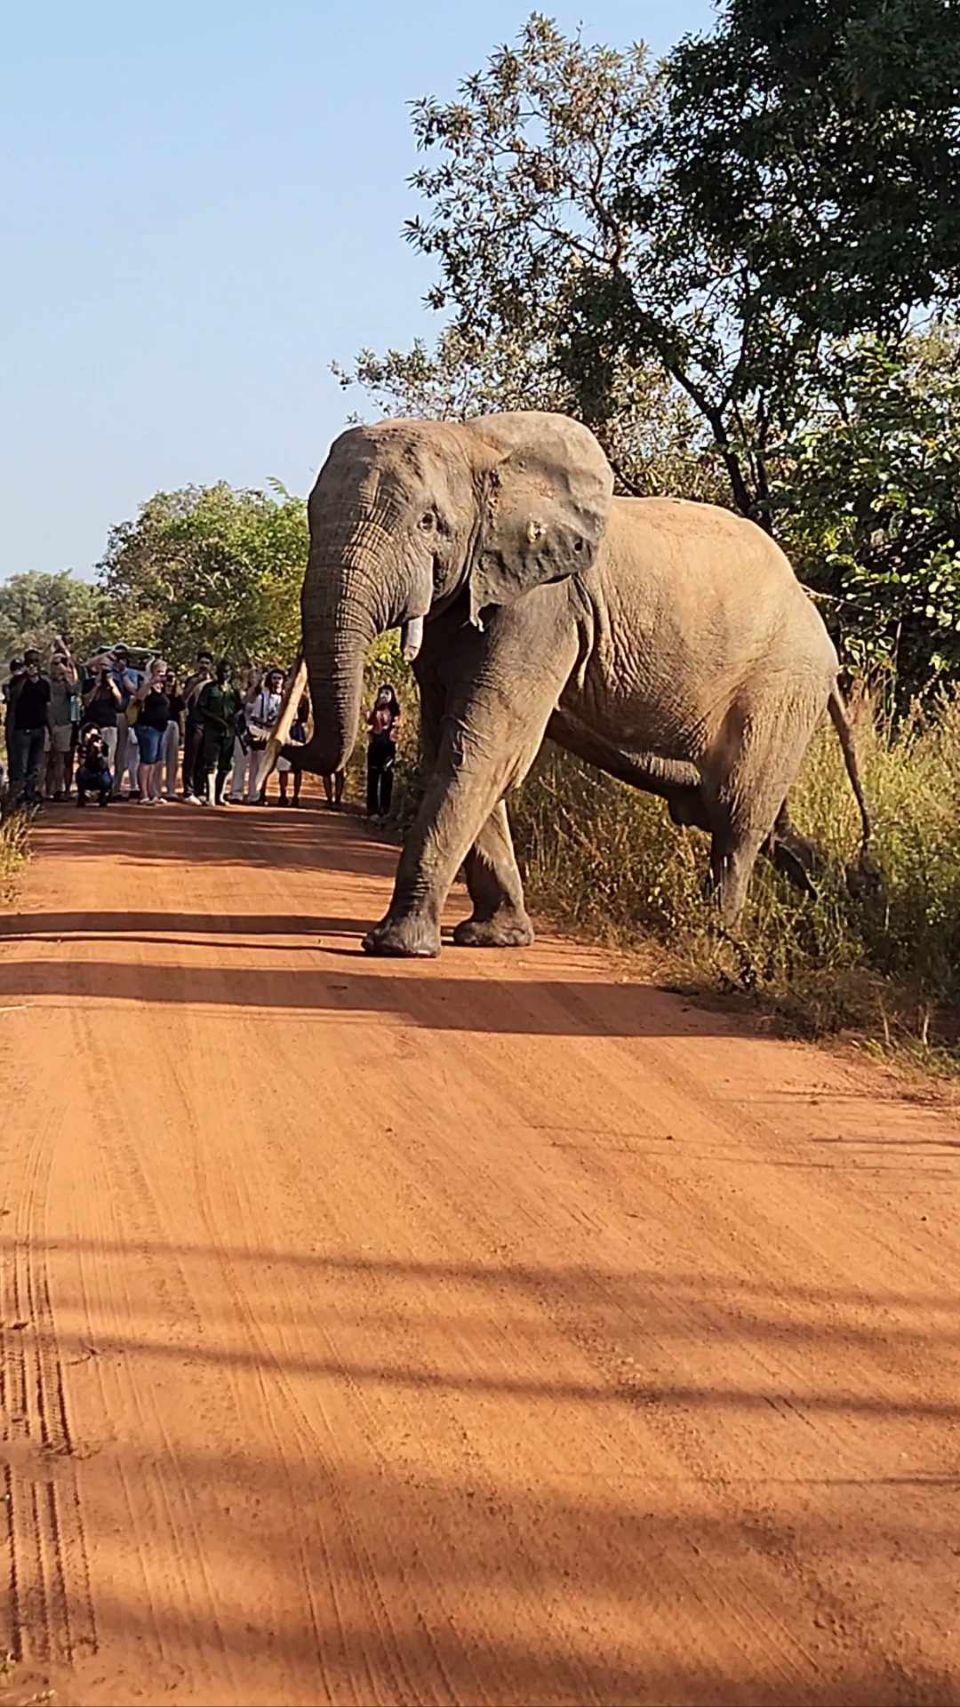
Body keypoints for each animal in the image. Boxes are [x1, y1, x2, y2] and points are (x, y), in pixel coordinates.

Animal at [296, 410, 872, 958]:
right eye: (311, 517)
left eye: (429, 522)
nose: (288, 740)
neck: (477, 446)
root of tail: (825, 643)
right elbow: (454, 745)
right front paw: (496, 937)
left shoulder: (543, 608)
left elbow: (483, 748)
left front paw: (396, 946)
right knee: (761, 823)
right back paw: (850, 898)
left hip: (779, 688)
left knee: (737, 819)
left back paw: (714, 942)